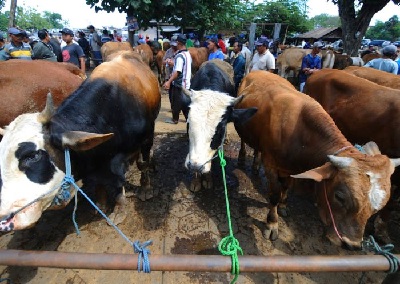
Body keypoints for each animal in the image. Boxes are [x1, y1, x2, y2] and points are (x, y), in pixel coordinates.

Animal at [0, 51, 161, 230]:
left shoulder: (145, 139)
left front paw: (139, 193)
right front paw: (100, 204)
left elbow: (134, 170)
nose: (6, 220)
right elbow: (98, 182)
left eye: (33, 156)